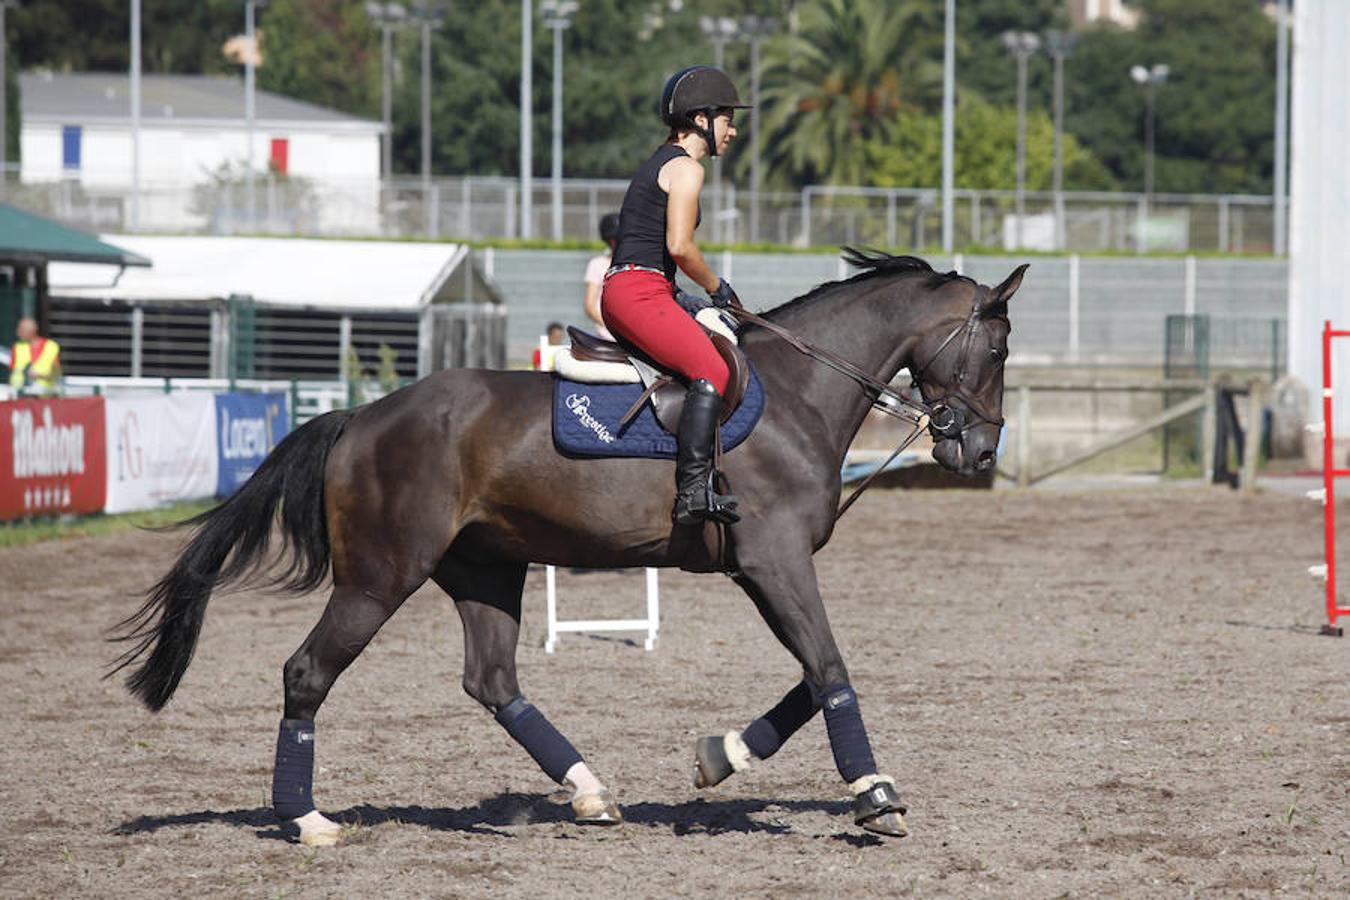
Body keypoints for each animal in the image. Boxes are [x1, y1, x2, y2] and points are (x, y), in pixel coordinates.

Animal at [113, 252, 1020, 847]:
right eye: (999, 349)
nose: (978, 453)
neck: (802, 390)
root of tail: (361, 417)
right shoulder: (775, 562)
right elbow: (829, 667)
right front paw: (875, 794)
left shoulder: (761, 570)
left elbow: (812, 673)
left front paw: (720, 757)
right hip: (381, 577)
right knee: (308, 674)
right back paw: (306, 820)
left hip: (484, 569)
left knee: (492, 681)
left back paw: (589, 793)